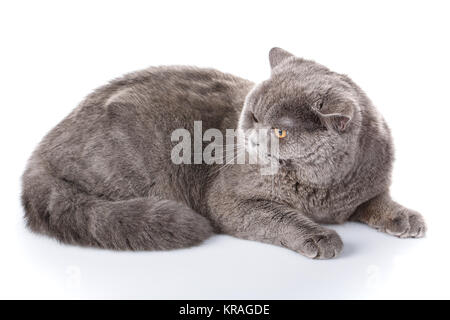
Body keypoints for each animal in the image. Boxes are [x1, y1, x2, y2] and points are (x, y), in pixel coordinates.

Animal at [22, 47, 426, 258]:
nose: (250, 135)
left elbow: (378, 201)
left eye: (280, 130)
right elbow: (279, 217)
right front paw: (318, 237)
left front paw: (405, 218)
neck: (324, 185)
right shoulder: (230, 200)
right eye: (252, 114)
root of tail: (38, 153)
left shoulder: (363, 190)